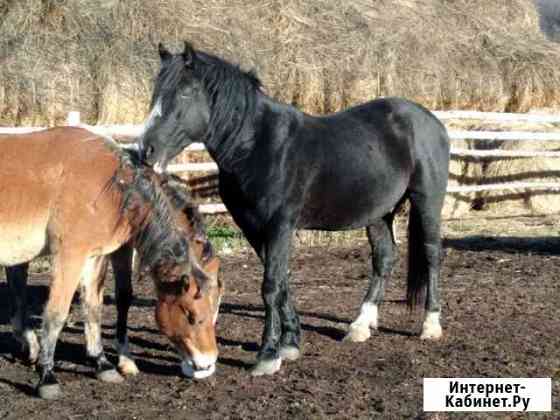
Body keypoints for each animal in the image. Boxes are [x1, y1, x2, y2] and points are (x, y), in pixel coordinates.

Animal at [0, 127, 223, 398]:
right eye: (191, 315)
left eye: (214, 312)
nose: (208, 363)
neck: (113, 189)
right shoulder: (70, 256)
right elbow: (56, 313)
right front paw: (47, 377)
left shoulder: (94, 257)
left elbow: (94, 307)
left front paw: (102, 363)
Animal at [140, 43, 450, 378]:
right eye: (156, 92)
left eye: (185, 93)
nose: (146, 149)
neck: (256, 146)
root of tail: (429, 119)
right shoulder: (254, 228)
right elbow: (282, 283)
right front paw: (290, 343)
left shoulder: (279, 226)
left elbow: (271, 286)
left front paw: (267, 355)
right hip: (378, 213)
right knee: (384, 258)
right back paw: (360, 325)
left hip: (427, 201)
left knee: (431, 254)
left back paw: (430, 324)